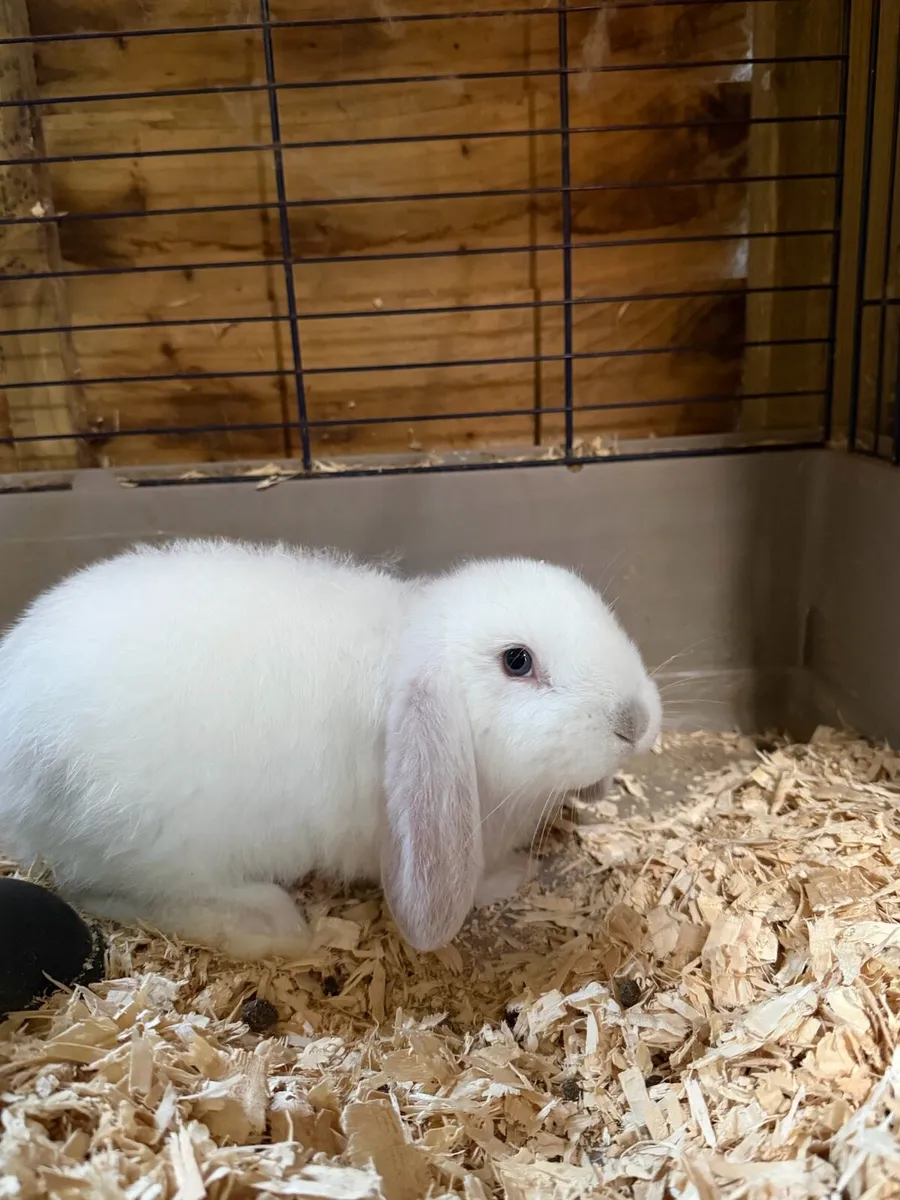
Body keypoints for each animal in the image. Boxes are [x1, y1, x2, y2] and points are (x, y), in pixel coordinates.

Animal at [0, 539, 661, 961]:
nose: (636, 721)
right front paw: (510, 876)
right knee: (103, 892)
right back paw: (271, 924)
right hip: (149, 845)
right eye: (517, 662)